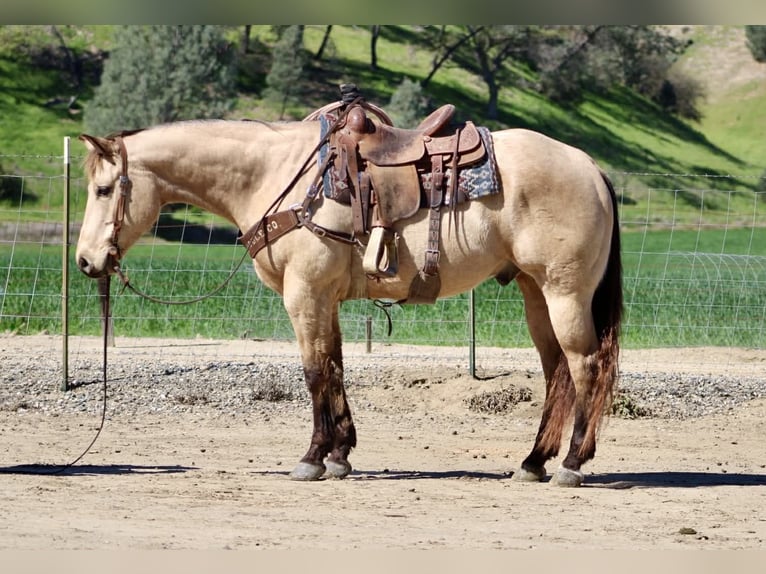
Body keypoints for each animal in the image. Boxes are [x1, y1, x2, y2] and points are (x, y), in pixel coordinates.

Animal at [75, 111, 622, 487]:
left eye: (103, 189)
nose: (84, 261)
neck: (276, 176)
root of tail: (591, 167)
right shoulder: (325, 299)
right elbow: (334, 366)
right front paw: (340, 454)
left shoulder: (305, 293)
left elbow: (315, 370)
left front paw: (313, 457)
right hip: (535, 294)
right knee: (557, 372)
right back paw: (533, 462)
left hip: (564, 293)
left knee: (586, 366)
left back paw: (572, 463)